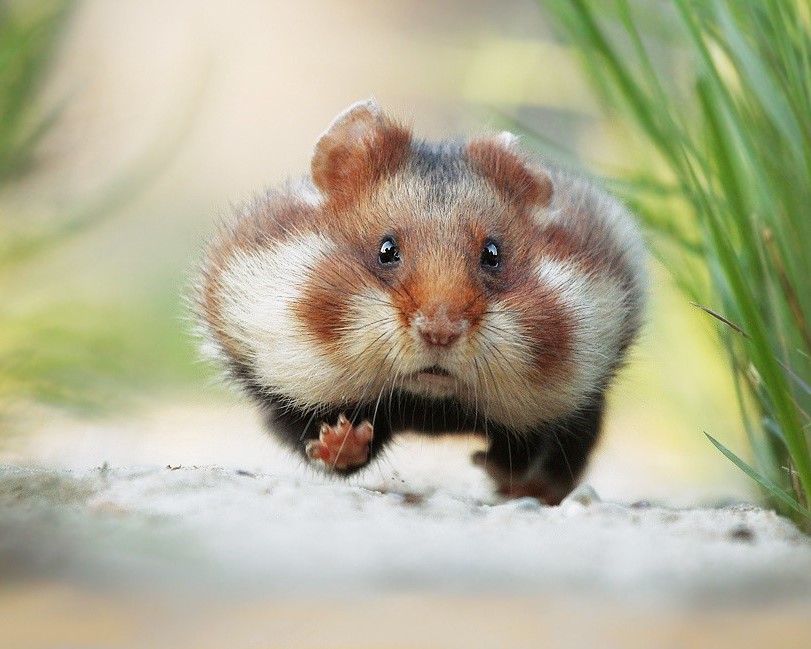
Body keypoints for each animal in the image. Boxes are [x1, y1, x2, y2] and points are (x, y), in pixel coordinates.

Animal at [196, 99, 647, 504]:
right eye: (386, 250)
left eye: (493, 254)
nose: (440, 332)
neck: (430, 402)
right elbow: (323, 445)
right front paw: (341, 438)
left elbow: (537, 446)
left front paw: (489, 464)